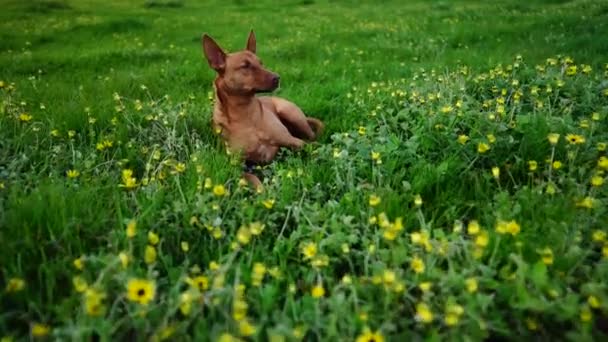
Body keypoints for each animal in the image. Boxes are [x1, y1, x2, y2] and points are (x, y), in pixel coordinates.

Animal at [202, 30, 324, 188]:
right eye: (245, 66)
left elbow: (312, 148)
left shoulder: (295, 142)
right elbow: (253, 179)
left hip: (291, 114)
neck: (245, 114)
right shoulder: (237, 167)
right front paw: (264, 192)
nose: (277, 78)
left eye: (261, 63)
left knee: (312, 136)